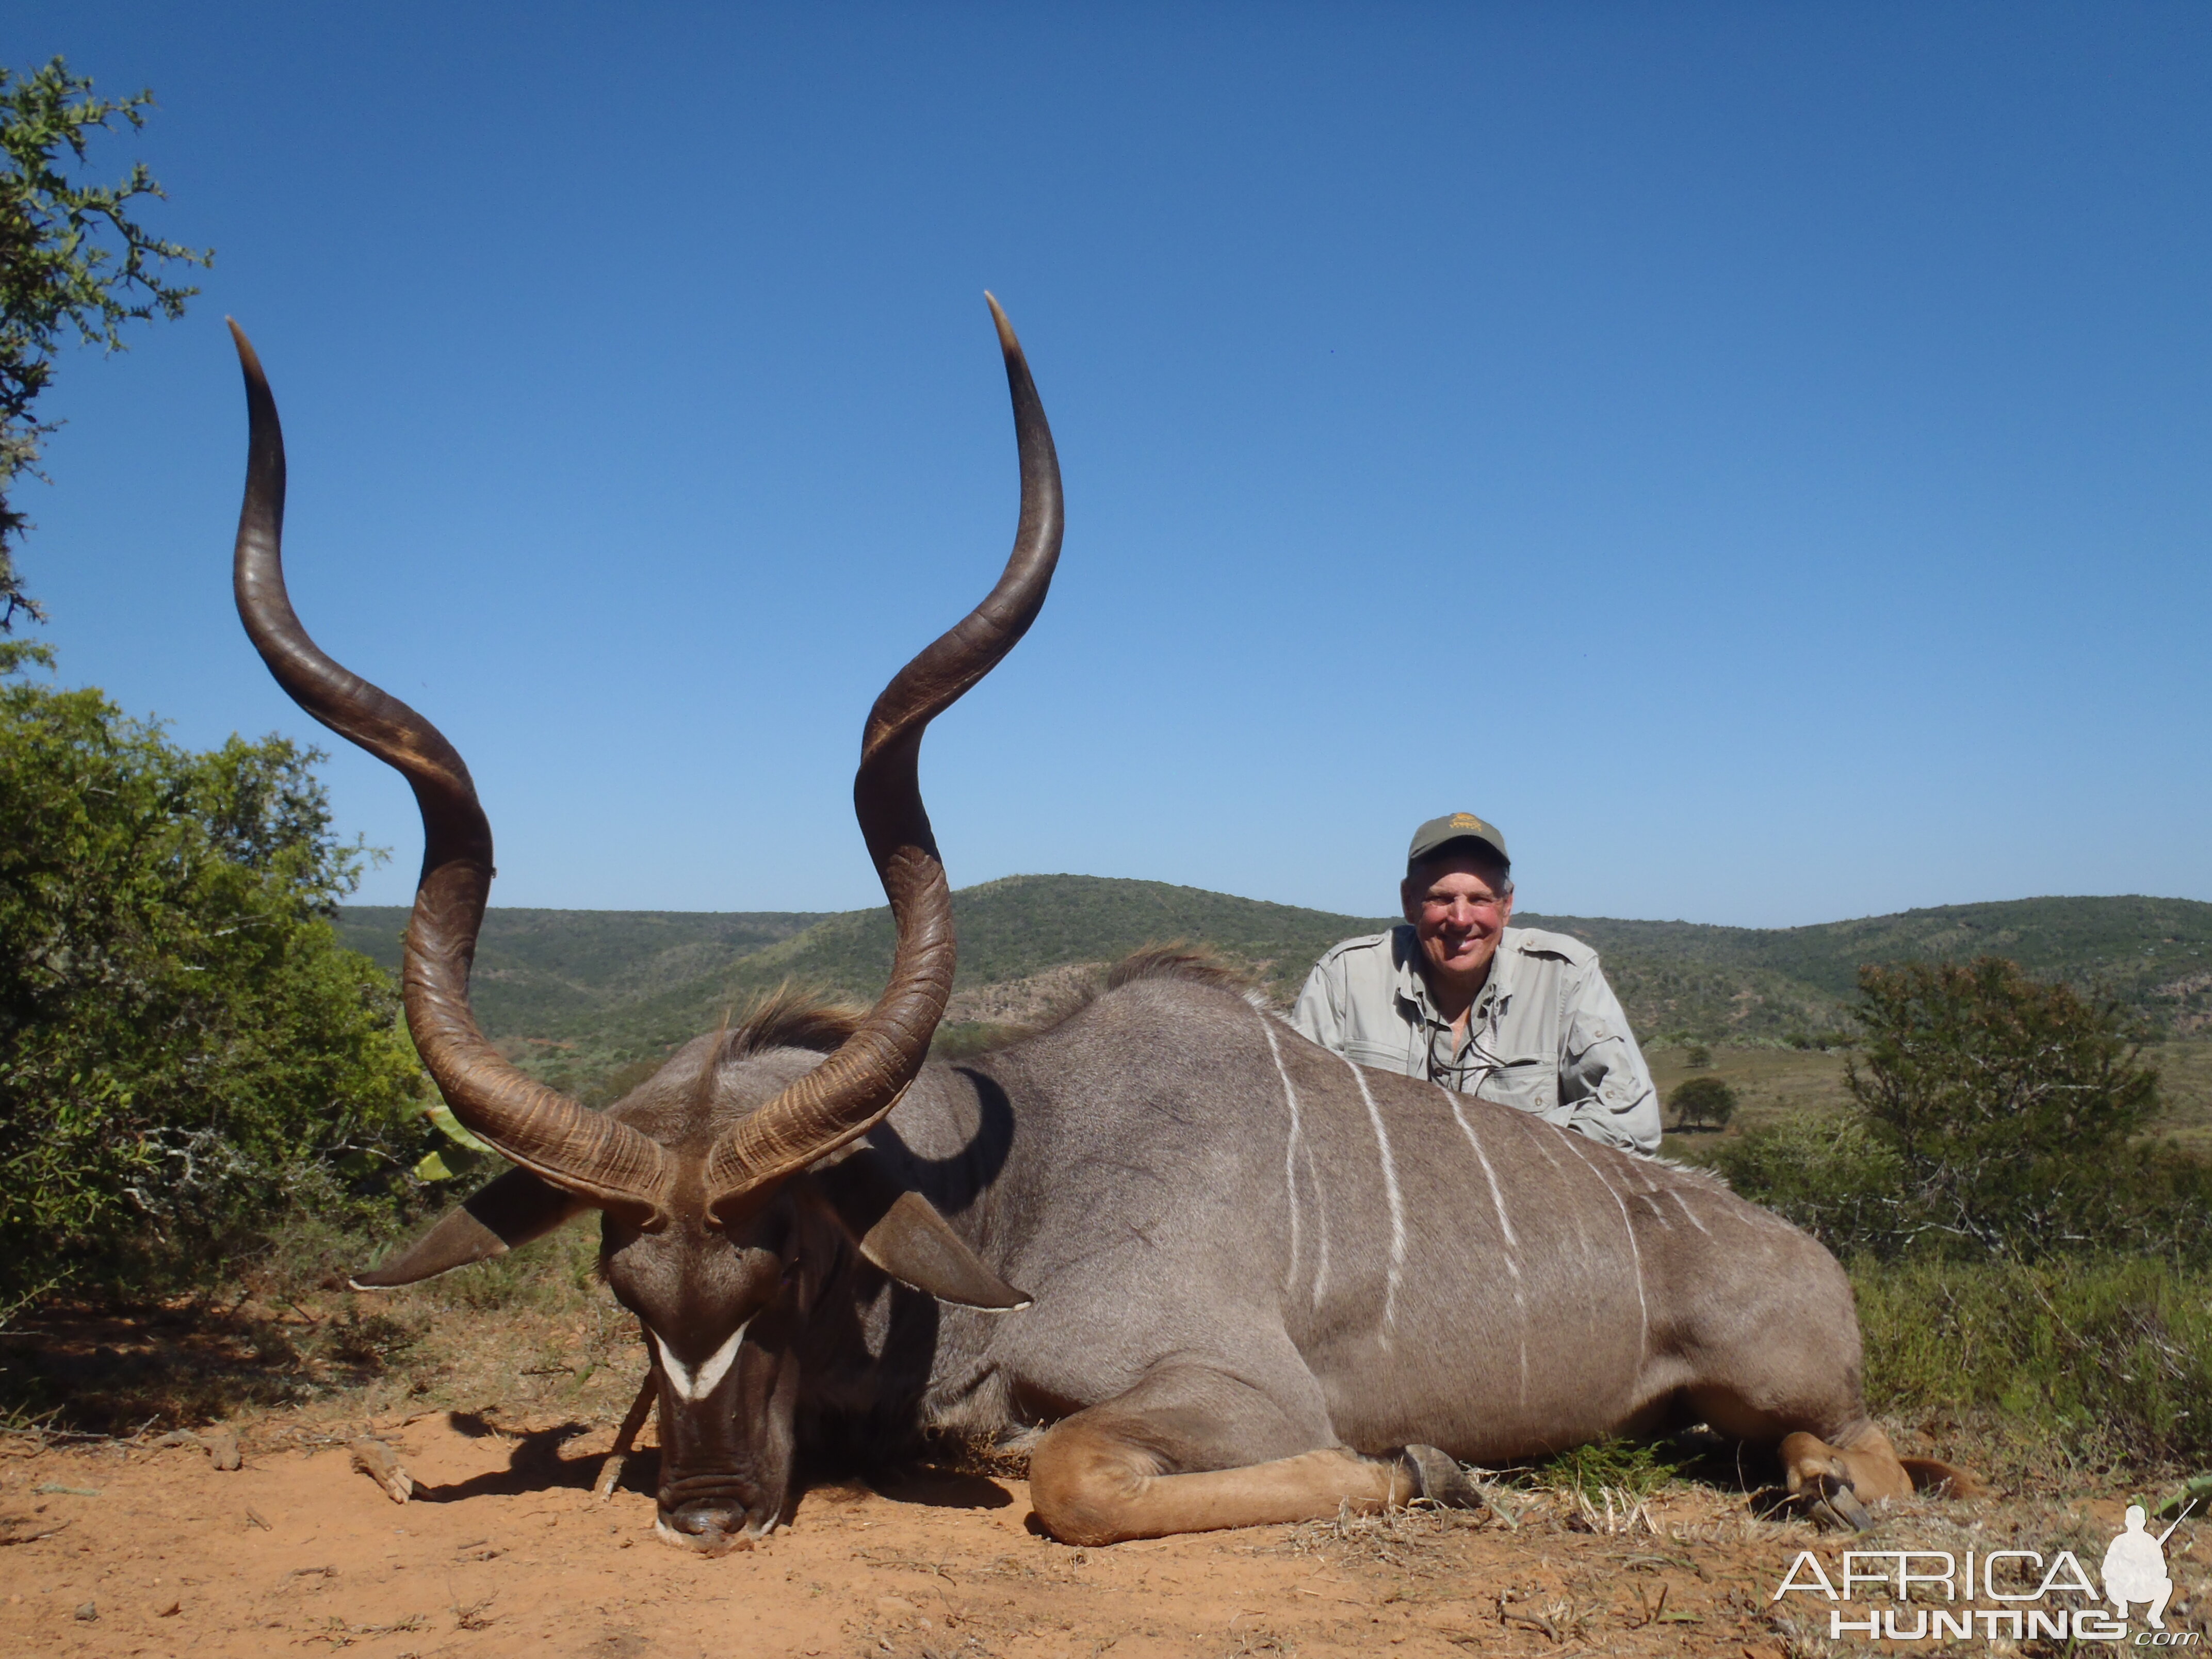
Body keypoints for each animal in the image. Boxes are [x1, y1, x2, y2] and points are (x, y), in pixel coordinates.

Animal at [224, 303, 1964, 1557]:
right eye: (623, 1285)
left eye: (792, 1256)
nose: (708, 1514)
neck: (1029, 1184)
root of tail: (1797, 1245)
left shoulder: (1237, 1388)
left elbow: (1069, 1471)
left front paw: (1425, 1472)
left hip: (1786, 1375)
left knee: (1871, 1453)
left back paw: (1818, 1486)